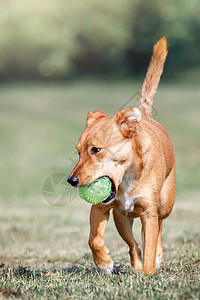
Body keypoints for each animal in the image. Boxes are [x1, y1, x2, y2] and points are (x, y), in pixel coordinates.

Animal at [67, 37, 175, 274]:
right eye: (78, 151)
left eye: (95, 149)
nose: (72, 180)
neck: (126, 178)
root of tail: (145, 114)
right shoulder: (100, 207)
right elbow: (94, 239)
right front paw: (104, 263)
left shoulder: (149, 212)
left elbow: (150, 243)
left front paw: (148, 273)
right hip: (121, 218)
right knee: (133, 244)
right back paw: (134, 265)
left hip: (165, 204)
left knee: (159, 229)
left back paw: (156, 258)